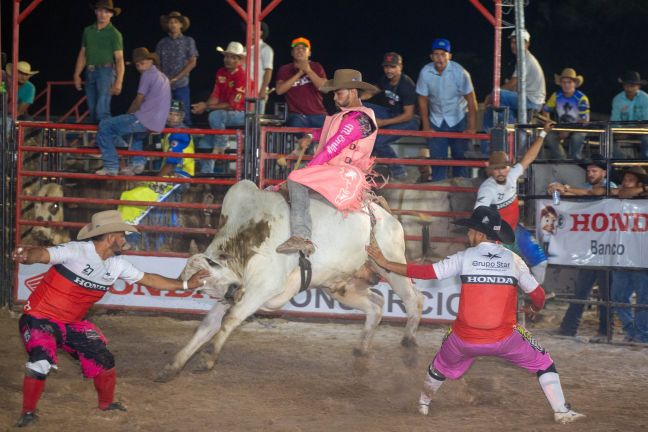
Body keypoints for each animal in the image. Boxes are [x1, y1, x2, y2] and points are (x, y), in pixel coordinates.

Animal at [157, 179, 426, 382]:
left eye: (216, 280)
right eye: (206, 290)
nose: (232, 295)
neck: (245, 237)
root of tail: (383, 213)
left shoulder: (263, 287)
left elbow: (230, 319)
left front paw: (208, 359)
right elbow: (208, 325)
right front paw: (174, 365)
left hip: (392, 265)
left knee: (414, 299)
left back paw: (409, 341)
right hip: (340, 286)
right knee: (376, 305)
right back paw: (362, 348)